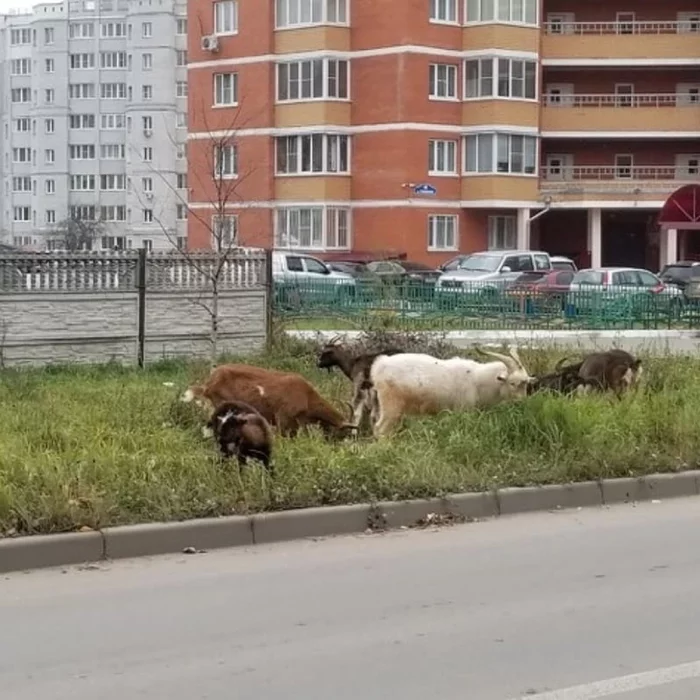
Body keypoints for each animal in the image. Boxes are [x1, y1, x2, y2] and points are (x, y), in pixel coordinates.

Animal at [370, 346, 532, 438]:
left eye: (525, 384)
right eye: (512, 383)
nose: (521, 403)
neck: (478, 380)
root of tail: (380, 365)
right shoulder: (463, 411)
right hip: (391, 405)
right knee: (381, 429)